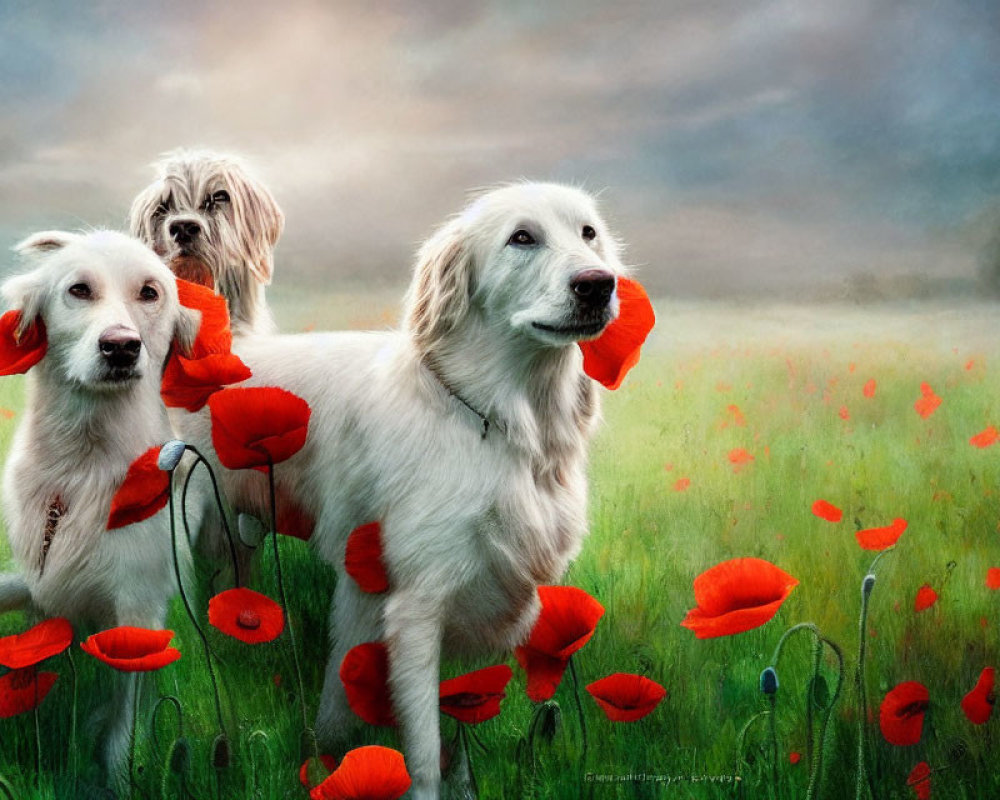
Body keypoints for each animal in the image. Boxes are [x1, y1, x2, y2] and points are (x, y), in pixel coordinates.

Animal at [0, 230, 201, 780]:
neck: (82, 466)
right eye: (79, 290)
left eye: (150, 292)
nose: (121, 347)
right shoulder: (39, 589)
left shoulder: (137, 608)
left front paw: (118, 771)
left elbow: (121, 719)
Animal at [176, 184, 620, 796]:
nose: (599, 284)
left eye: (588, 233)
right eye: (522, 237)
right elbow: (426, 748)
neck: (501, 422)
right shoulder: (417, 606)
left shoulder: (485, 593)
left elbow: (459, 726)